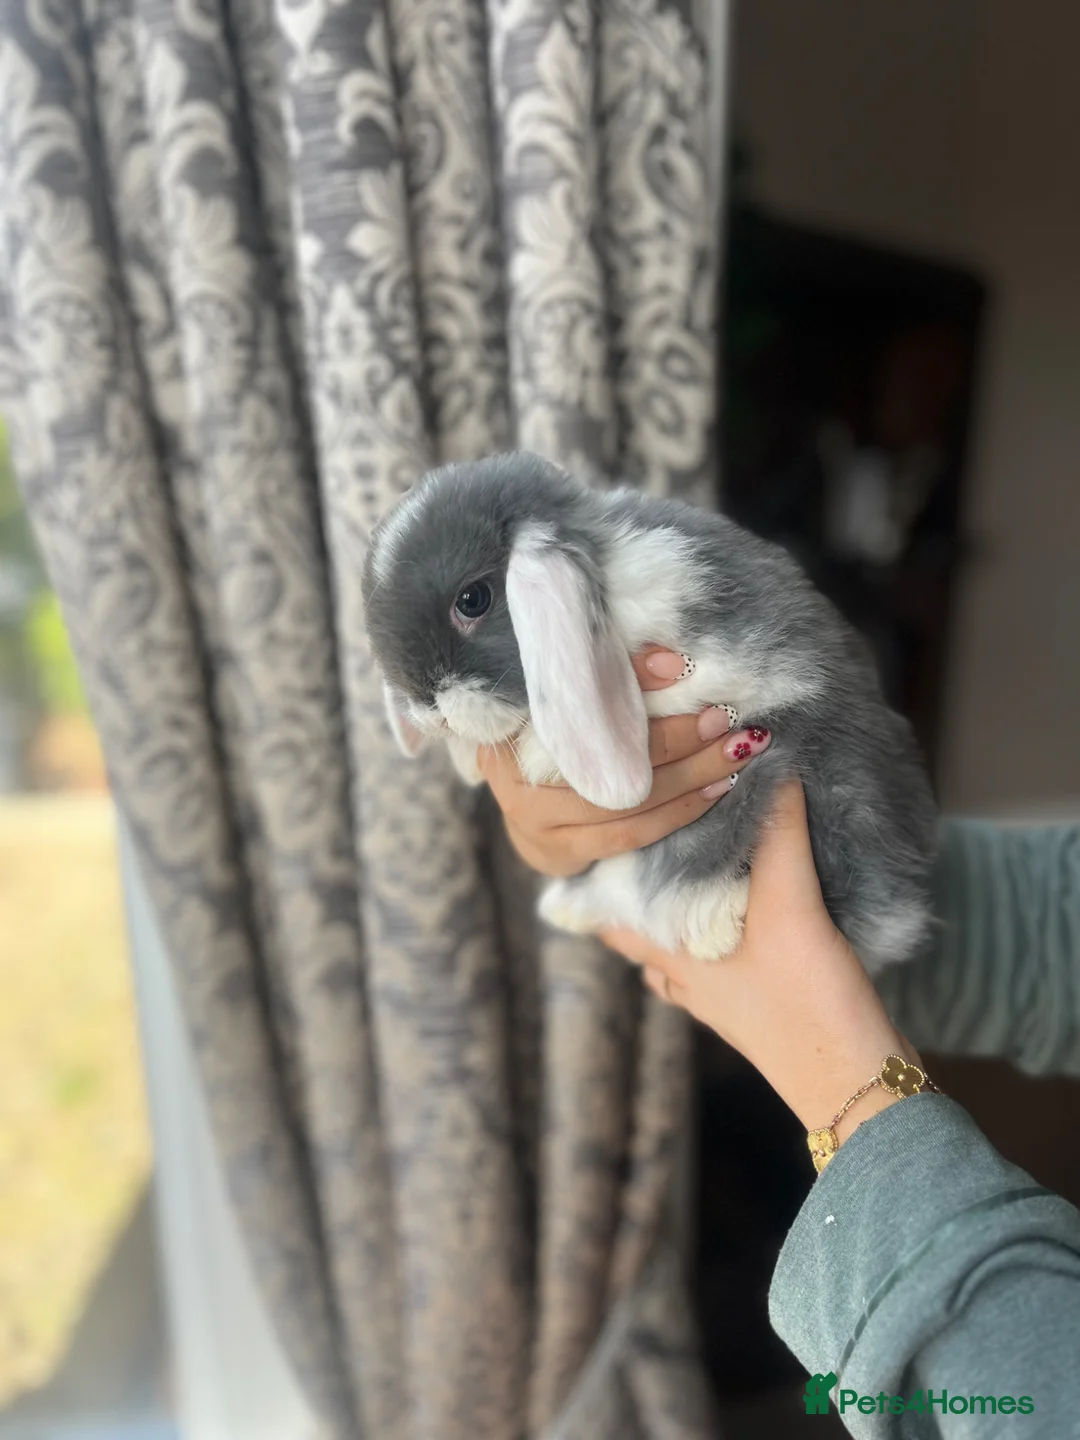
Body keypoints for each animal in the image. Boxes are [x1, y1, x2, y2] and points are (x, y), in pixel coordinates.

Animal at [361, 452, 938, 974]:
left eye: (473, 600)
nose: (426, 710)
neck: (606, 568)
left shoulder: (718, 661)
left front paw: (540, 756)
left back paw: (705, 922)